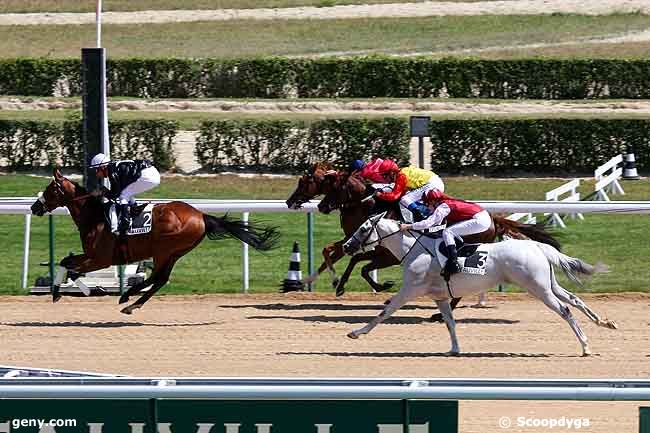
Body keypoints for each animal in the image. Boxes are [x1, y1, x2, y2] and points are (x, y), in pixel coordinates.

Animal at [31, 169, 278, 314]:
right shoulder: (91, 256)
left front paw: (87, 290)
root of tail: (201, 215)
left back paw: (127, 297)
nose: (34, 207)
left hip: (163, 250)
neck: (96, 216)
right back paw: (132, 302)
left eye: (50, 189)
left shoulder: (101, 259)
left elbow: (73, 270)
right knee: (160, 279)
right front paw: (55, 292)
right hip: (174, 253)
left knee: (157, 278)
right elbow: (65, 261)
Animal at [342, 213, 616, 358]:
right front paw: (454, 349)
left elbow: (385, 311)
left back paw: (585, 346)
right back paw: (604, 323)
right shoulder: (440, 297)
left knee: (565, 310)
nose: (346, 246)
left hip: (538, 288)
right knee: (575, 300)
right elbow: (450, 323)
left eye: (364, 228)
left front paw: (356, 332)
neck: (414, 250)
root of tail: (536, 246)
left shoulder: (409, 290)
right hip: (549, 285)